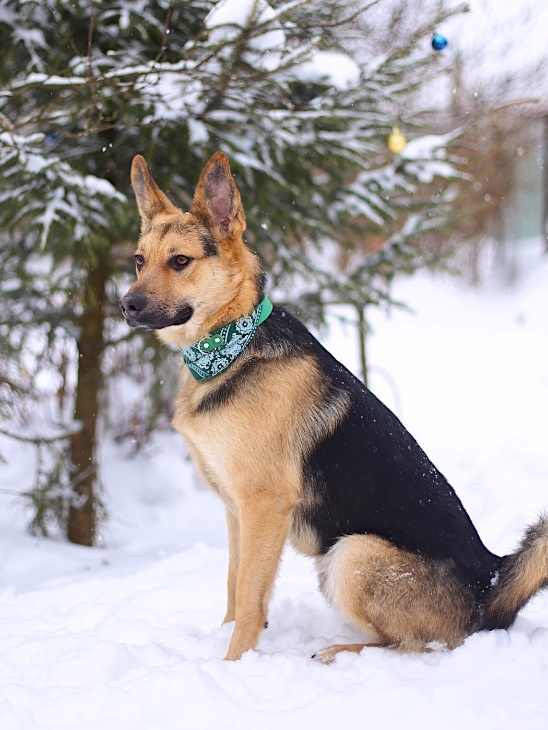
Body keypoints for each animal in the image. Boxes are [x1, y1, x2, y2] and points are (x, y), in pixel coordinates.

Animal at [120, 151, 548, 663]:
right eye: (139, 261)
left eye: (180, 261)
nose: (126, 305)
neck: (231, 347)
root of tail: (491, 586)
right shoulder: (235, 509)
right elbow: (232, 586)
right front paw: (223, 641)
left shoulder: (264, 505)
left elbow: (248, 596)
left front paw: (234, 662)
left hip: (351, 554)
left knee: (419, 647)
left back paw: (340, 652)